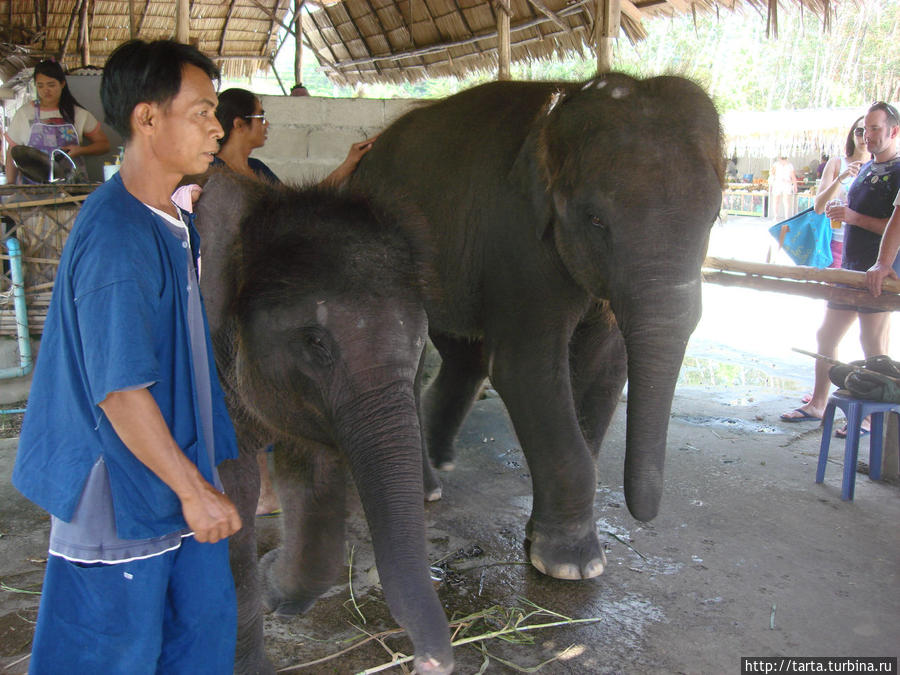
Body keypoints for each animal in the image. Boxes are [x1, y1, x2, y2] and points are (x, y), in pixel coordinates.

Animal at [194, 174, 454, 675]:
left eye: (421, 340)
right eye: (315, 342)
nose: (427, 663)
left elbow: (310, 475)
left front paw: (276, 589)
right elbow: (230, 495)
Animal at [352, 72, 724, 580]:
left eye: (715, 216)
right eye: (595, 219)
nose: (644, 515)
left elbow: (604, 368)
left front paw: (547, 542)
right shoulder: (517, 240)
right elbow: (525, 369)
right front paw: (572, 567)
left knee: (465, 353)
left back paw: (442, 462)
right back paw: (427, 490)